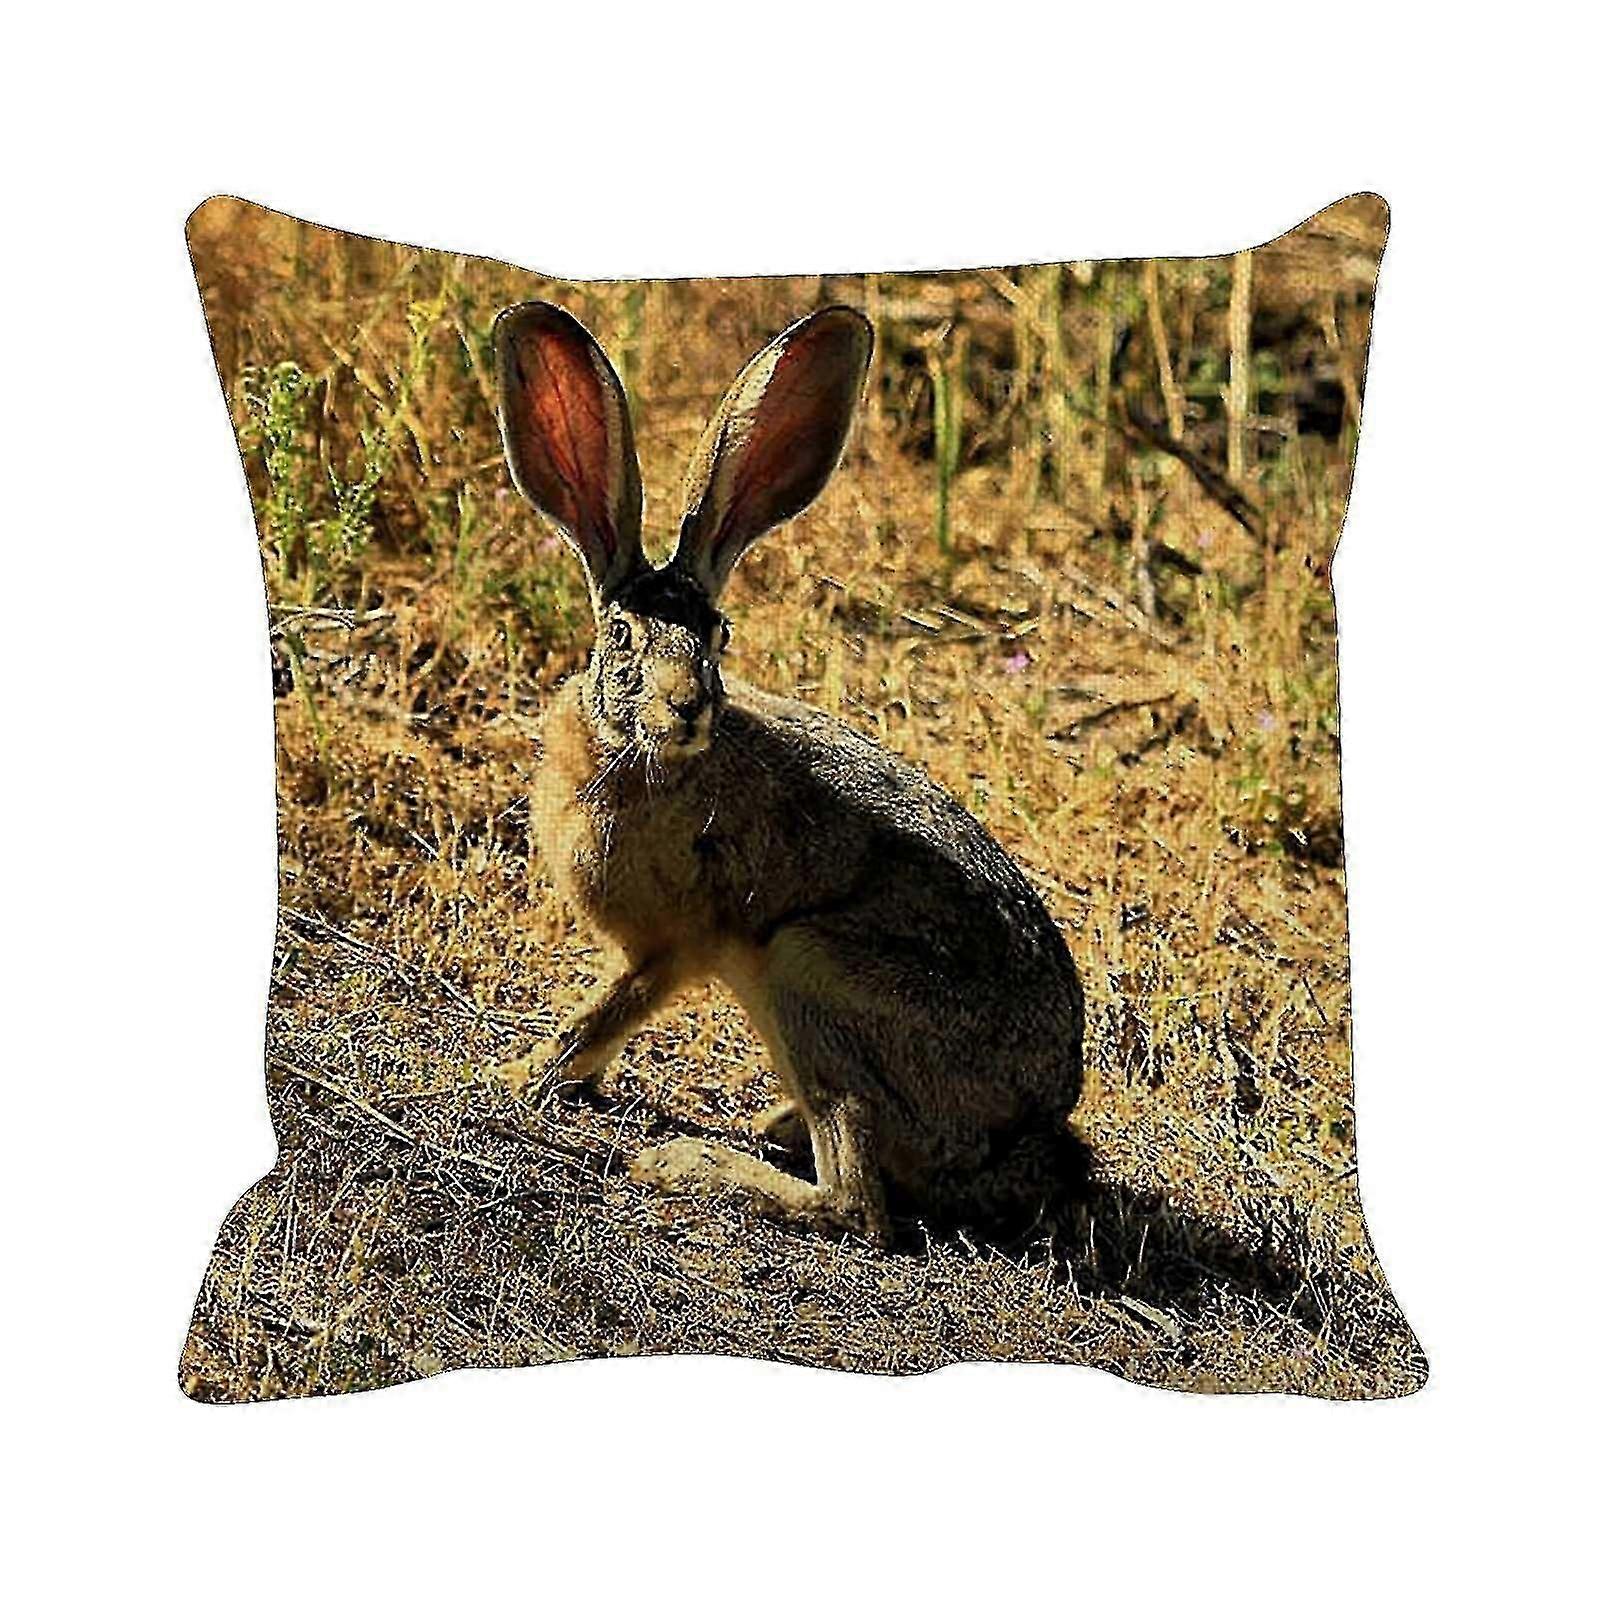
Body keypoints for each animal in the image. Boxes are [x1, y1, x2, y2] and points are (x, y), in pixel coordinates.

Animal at [493, 299, 1086, 1246]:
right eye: (622, 636)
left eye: (719, 636)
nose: (688, 707)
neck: (643, 757)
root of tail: (1028, 1130)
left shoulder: (673, 944)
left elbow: (604, 1010)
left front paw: (521, 1075)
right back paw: (769, 1127)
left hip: (810, 972)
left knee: (859, 1206)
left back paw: (693, 1163)